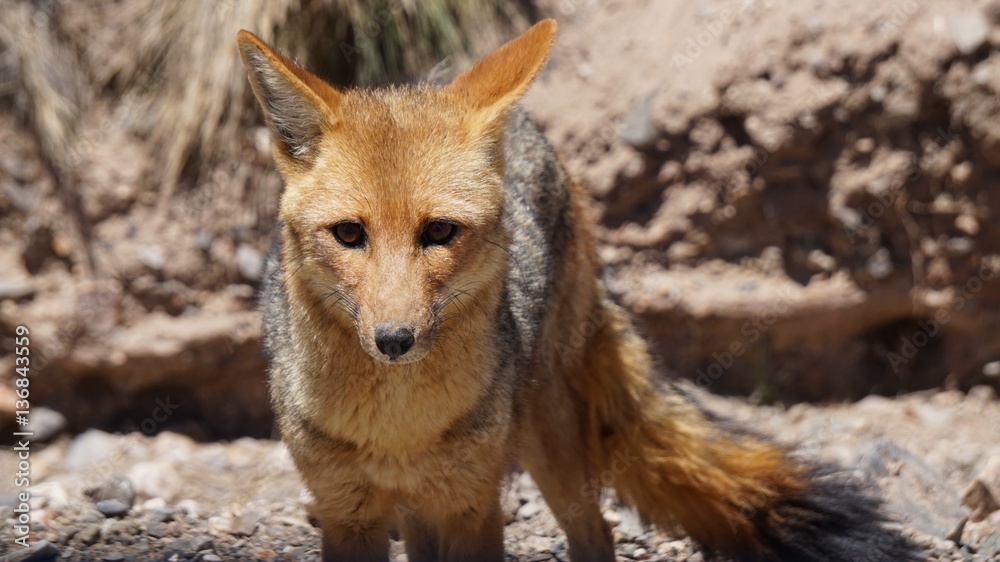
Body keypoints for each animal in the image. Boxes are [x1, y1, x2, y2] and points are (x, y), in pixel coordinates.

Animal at [236, 19, 920, 556]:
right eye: (349, 234)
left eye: (440, 231)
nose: (395, 339)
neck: (398, 429)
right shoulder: (347, 512)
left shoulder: (471, 505)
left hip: (551, 443)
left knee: (597, 533)